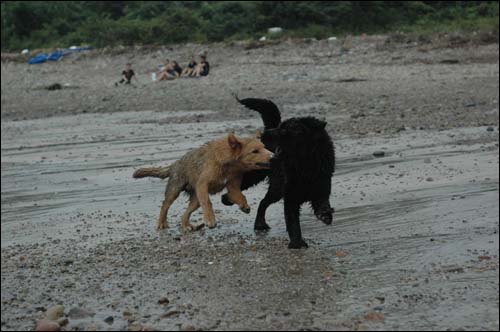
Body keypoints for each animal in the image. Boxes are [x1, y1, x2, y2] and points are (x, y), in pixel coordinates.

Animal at [134, 134, 274, 232]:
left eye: (264, 147)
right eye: (254, 151)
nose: (273, 156)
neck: (229, 164)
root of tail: (175, 164)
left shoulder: (233, 185)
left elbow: (240, 195)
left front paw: (244, 205)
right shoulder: (202, 184)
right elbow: (207, 202)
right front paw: (210, 219)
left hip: (195, 200)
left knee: (185, 214)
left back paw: (186, 226)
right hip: (175, 189)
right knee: (165, 205)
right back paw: (162, 223)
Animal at [223, 98, 336, 249]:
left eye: (284, 129)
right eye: (281, 126)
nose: (264, 134)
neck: (305, 164)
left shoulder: (321, 188)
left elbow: (322, 204)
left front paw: (325, 215)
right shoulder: (291, 197)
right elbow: (293, 222)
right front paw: (297, 243)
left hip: (277, 188)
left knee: (263, 202)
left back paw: (260, 224)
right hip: (256, 176)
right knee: (236, 186)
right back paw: (227, 199)